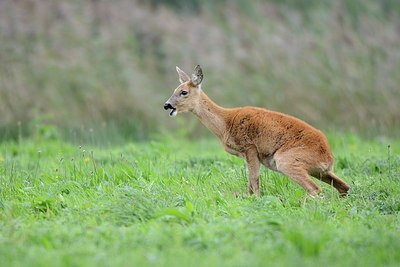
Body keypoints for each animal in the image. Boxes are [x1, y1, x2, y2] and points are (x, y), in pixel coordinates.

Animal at [163, 66, 350, 198]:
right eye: (174, 90)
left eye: (183, 92)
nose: (167, 105)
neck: (225, 124)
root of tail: (328, 157)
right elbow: (251, 185)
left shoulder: (250, 148)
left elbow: (254, 183)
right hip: (320, 171)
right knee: (344, 187)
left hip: (286, 160)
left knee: (315, 189)